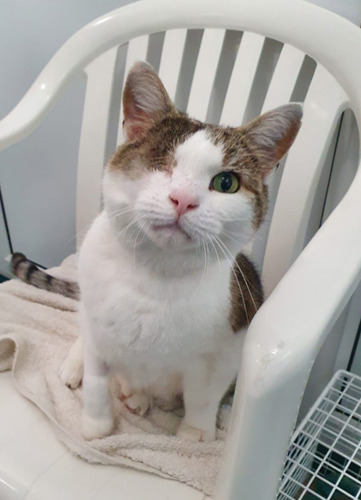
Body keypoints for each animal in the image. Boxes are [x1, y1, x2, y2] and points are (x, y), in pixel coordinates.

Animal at [10, 62, 300, 442]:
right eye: (160, 164)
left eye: (226, 183)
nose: (183, 200)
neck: (156, 274)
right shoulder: (99, 324)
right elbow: (97, 378)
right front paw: (96, 427)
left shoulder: (229, 344)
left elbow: (204, 396)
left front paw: (194, 434)